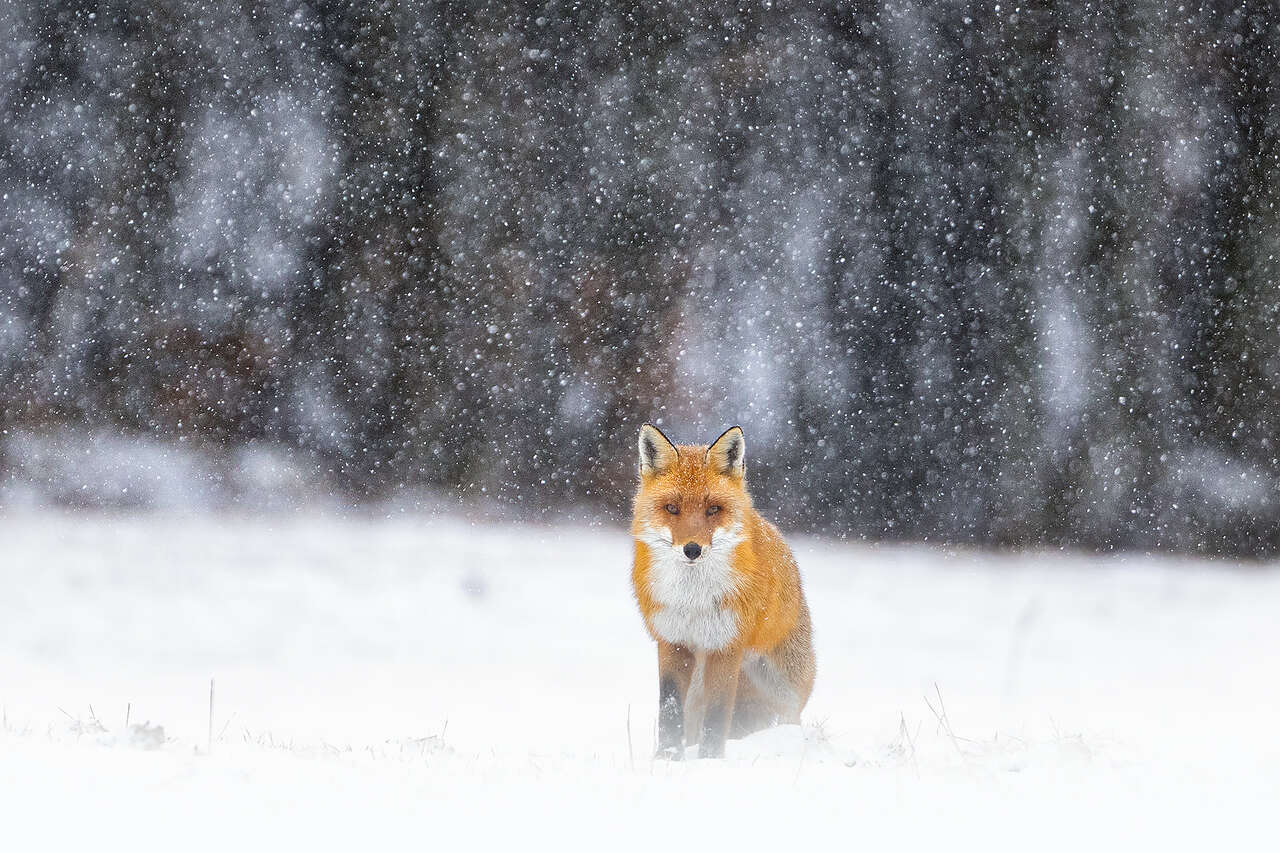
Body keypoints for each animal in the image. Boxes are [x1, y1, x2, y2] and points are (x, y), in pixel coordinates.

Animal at [630, 423, 815, 759]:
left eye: (713, 509)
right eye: (672, 508)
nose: (692, 549)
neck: (693, 600)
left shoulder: (725, 645)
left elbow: (716, 717)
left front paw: (710, 761)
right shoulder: (672, 641)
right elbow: (670, 712)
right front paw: (667, 759)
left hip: (783, 691)